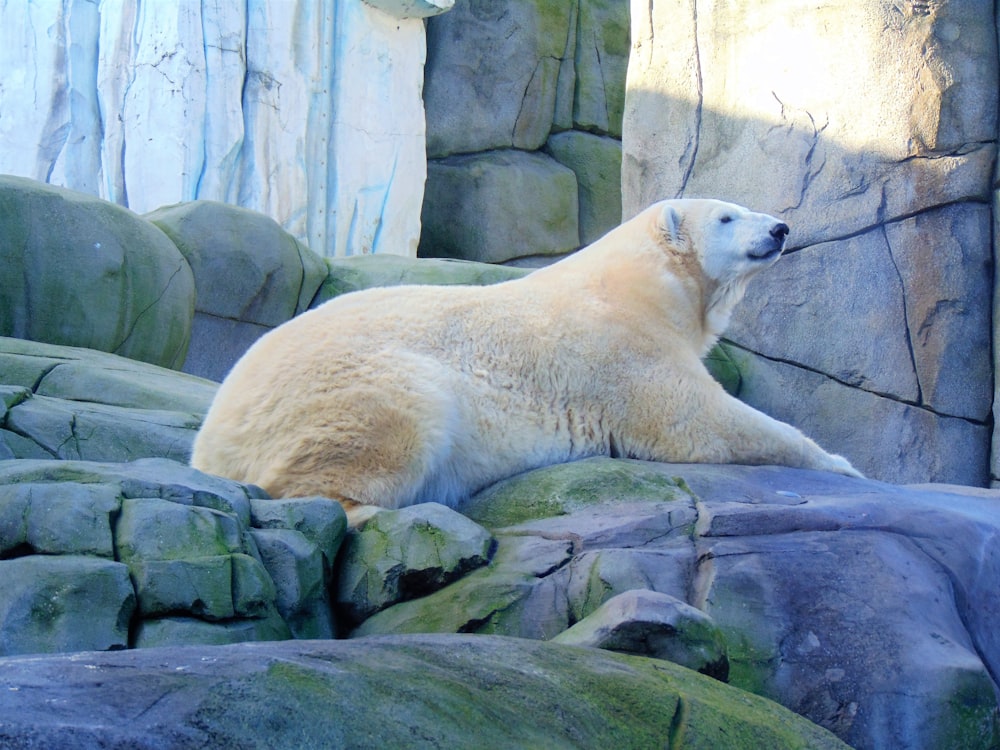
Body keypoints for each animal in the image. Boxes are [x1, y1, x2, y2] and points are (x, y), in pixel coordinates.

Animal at [189, 200, 860, 516]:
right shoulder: (624, 347)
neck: (645, 286)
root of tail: (212, 438)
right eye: (726, 215)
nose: (779, 228)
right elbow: (697, 419)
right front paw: (842, 464)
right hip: (356, 383)